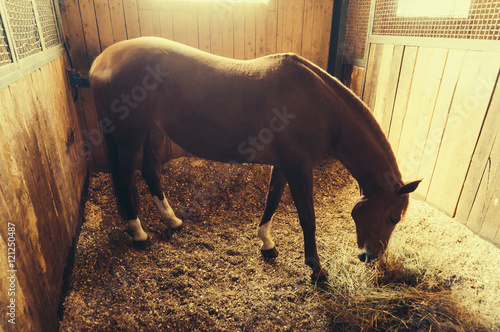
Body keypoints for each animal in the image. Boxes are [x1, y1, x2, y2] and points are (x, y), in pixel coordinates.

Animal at [89, 36, 418, 280]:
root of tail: (100, 61)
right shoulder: (300, 169)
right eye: (392, 217)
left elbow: (272, 201)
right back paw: (138, 234)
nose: (370, 257)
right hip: (131, 136)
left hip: (153, 133)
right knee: (126, 178)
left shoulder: (284, 165)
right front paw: (316, 269)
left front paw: (267, 244)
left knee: (150, 172)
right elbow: (307, 218)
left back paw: (172, 221)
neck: (319, 105)